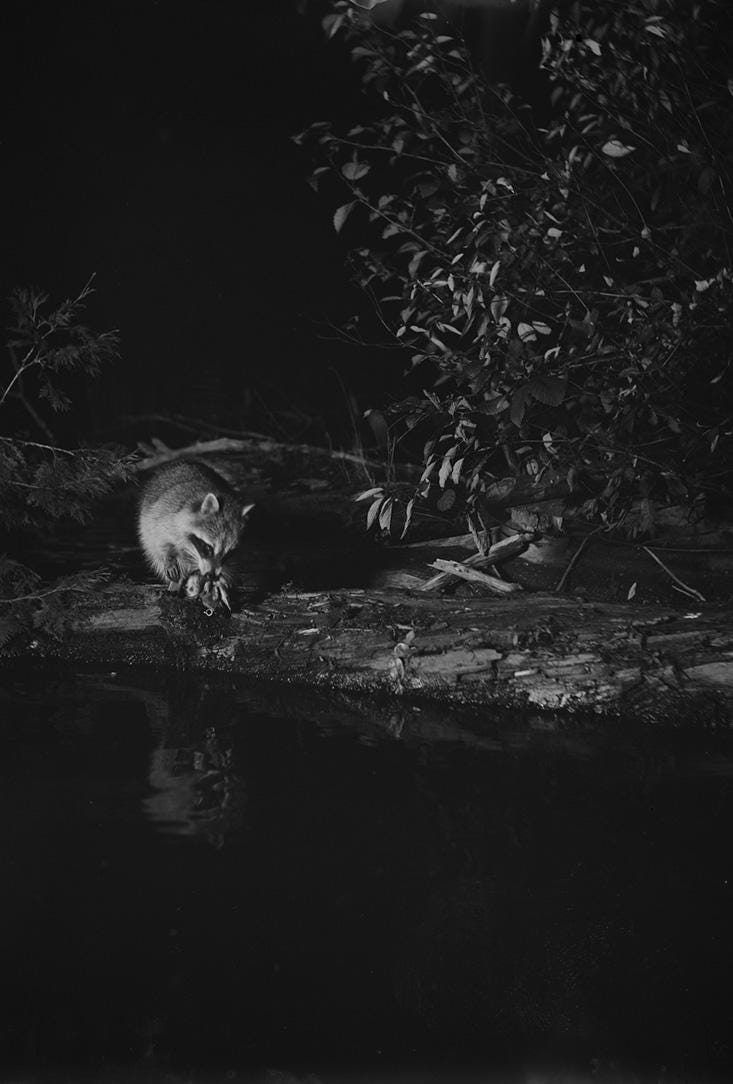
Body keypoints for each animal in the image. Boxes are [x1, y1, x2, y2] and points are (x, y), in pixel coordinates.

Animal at [138, 461, 254, 602]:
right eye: (208, 548)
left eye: (228, 554)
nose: (212, 576)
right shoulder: (164, 515)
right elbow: (160, 541)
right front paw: (168, 558)